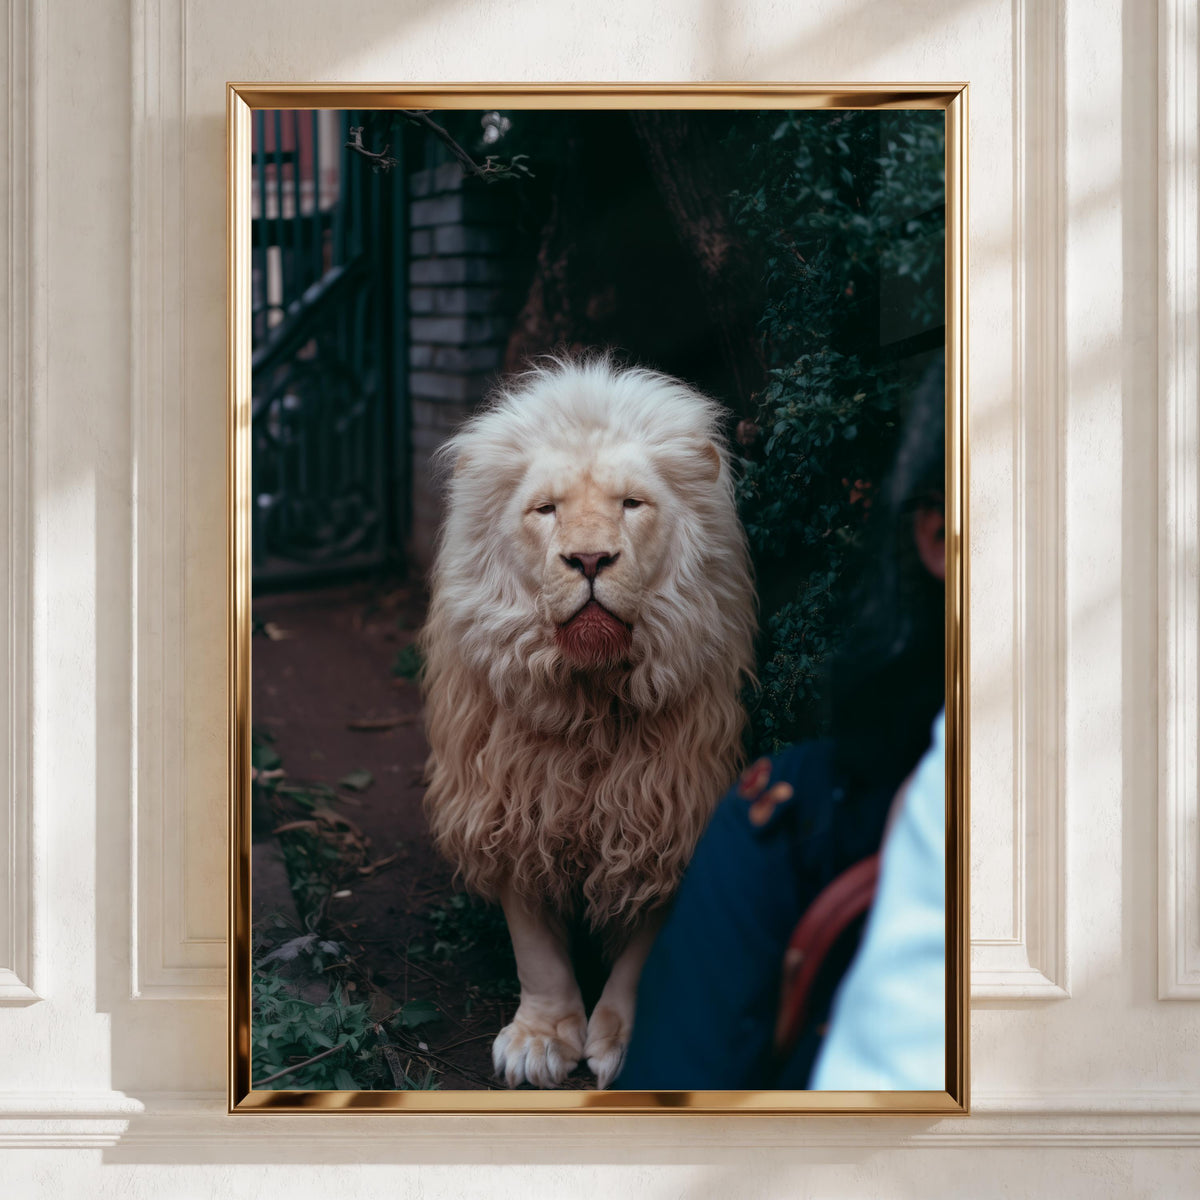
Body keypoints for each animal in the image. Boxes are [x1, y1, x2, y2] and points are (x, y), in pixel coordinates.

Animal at [420, 356, 756, 1088]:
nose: (592, 560)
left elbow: (647, 947)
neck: (591, 702)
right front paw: (541, 1039)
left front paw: (625, 1038)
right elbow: (535, 948)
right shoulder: (509, 797)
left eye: (632, 503)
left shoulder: (667, 808)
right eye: (545, 509)